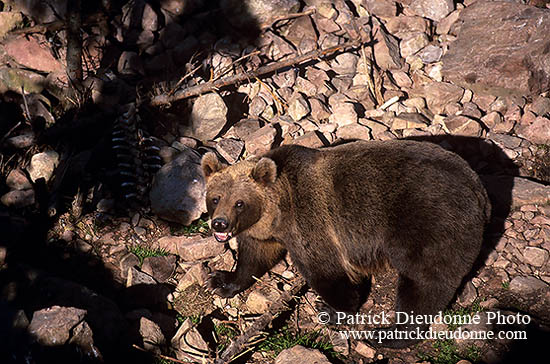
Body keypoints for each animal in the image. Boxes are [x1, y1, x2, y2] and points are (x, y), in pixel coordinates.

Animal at [202, 139, 492, 346]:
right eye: (215, 198)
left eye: (239, 202)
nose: (220, 224)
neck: (279, 209)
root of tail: (480, 190)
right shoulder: (264, 231)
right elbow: (254, 257)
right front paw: (222, 281)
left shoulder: (311, 223)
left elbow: (326, 271)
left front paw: (331, 309)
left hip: (429, 224)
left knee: (423, 282)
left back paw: (389, 334)